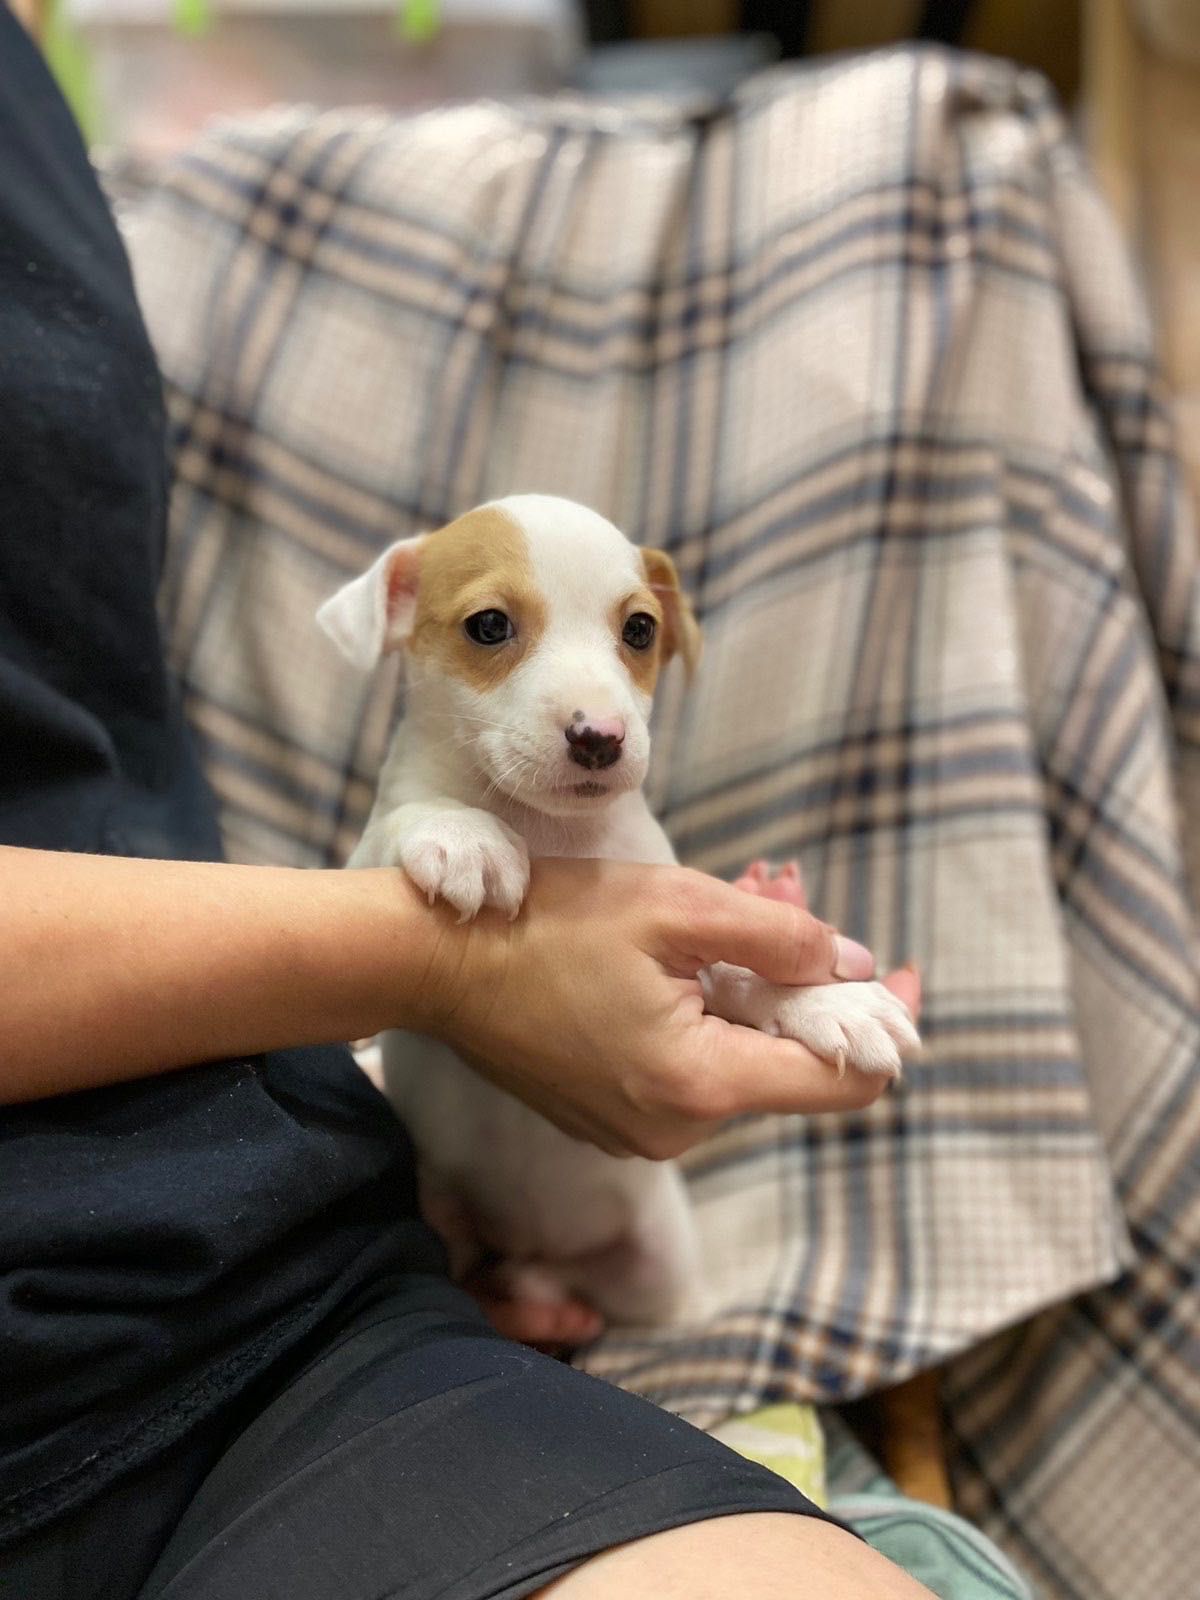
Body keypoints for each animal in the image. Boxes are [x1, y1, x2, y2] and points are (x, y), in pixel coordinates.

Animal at [320, 496, 921, 1324]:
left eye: (639, 630)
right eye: (488, 626)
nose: (599, 737)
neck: (552, 831)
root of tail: (543, 1261)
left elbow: (743, 968)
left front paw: (832, 999)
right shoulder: (367, 872)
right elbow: (410, 817)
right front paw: (465, 834)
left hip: (660, 1275)